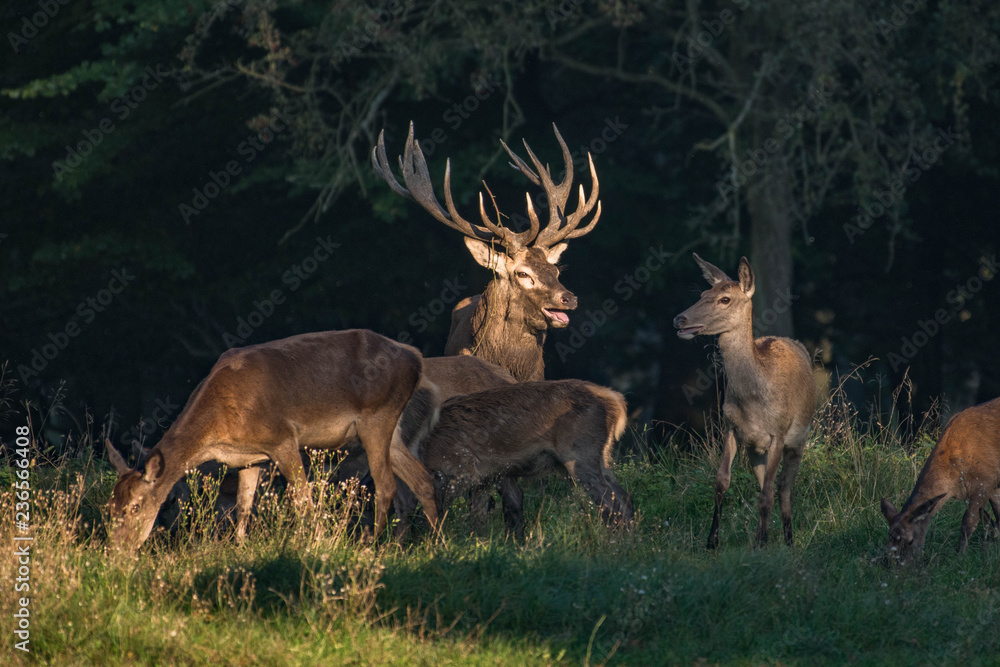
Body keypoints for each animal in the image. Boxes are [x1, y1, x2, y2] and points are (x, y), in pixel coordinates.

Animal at [105, 329, 441, 552]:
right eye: (110, 506)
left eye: (135, 506)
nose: (117, 550)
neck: (218, 427)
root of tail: (416, 358)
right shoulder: (248, 458)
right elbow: (243, 506)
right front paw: (240, 548)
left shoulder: (282, 438)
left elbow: (303, 499)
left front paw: (316, 544)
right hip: (390, 430)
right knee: (422, 478)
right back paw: (436, 541)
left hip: (377, 417)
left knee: (387, 485)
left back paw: (370, 545)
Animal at [395, 379, 634, 536]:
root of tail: (617, 402)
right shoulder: (490, 475)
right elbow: (489, 515)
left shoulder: (459, 470)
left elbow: (434, 509)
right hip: (602, 457)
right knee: (624, 497)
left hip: (580, 455)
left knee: (613, 504)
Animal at [673, 254, 816, 549]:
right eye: (703, 294)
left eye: (725, 299)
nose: (679, 319)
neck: (753, 401)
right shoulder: (731, 428)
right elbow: (721, 482)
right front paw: (712, 541)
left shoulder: (778, 433)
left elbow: (769, 492)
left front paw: (760, 544)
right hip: (755, 449)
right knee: (766, 485)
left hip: (799, 439)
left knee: (783, 487)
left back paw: (788, 540)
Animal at [880, 397, 1000, 564]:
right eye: (888, 539)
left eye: (910, 541)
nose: (894, 564)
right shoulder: (994, 485)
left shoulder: (985, 480)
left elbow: (968, 522)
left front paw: (960, 555)